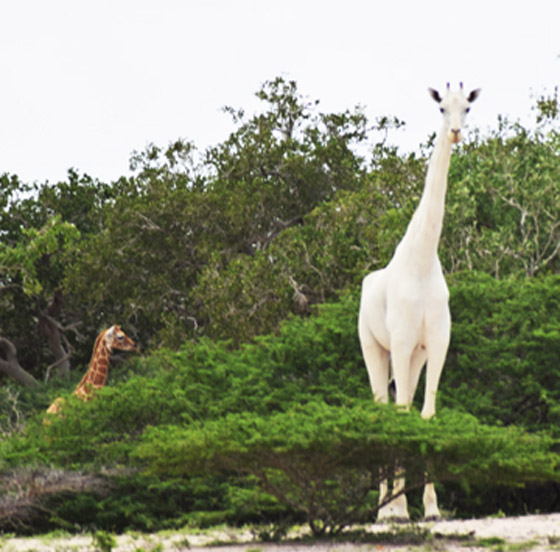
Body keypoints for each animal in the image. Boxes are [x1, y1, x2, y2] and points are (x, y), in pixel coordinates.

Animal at [358, 83, 482, 520]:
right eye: (442, 108)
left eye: (468, 108)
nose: (456, 133)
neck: (423, 260)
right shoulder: (399, 341)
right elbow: (397, 413)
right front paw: (394, 508)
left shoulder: (436, 342)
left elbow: (425, 414)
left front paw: (430, 507)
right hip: (374, 346)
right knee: (382, 405)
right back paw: (385, 507)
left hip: (414, 356)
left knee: (405, 403)